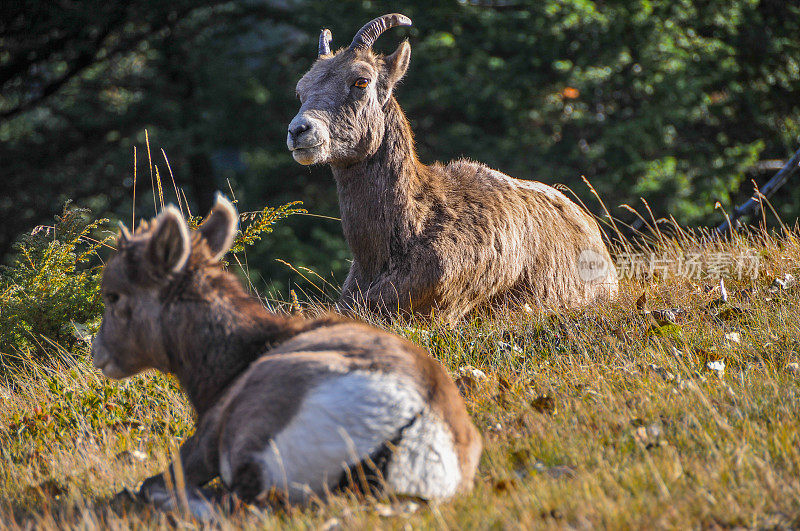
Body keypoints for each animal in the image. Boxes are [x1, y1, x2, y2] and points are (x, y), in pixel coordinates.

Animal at [92, 196, 482, 520]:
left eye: (114, 295)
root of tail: (415, 425)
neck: (232, 365)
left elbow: (154, 483)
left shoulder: (206, 440)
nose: (99, 354)